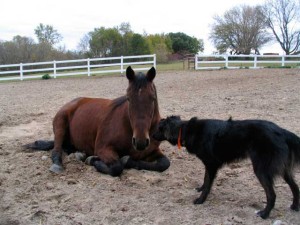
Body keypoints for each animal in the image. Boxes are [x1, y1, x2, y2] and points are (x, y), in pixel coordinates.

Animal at [24, 66, 170, 177]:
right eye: (128, 98)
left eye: (152, 98)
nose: (140, 142)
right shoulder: (103, 148)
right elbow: (117, 167)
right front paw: (93, 160)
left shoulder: (152, 151)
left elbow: (164, 164)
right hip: (60, 125)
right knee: (57, 149)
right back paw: (58, 164)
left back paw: (80, 153)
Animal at [152, 116, 300, 218]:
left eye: (159, 128)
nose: (151, 136)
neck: (186, 130)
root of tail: (281, 131)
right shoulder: (209, 165)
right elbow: (205, 180)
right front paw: (200, 189)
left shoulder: (211, 164)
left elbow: (208, 183)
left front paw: (201, 200)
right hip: (283, 169)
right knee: (295, 186)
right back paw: (294, 206)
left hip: (261, 169)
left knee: (272, 194)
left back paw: (264, 214)